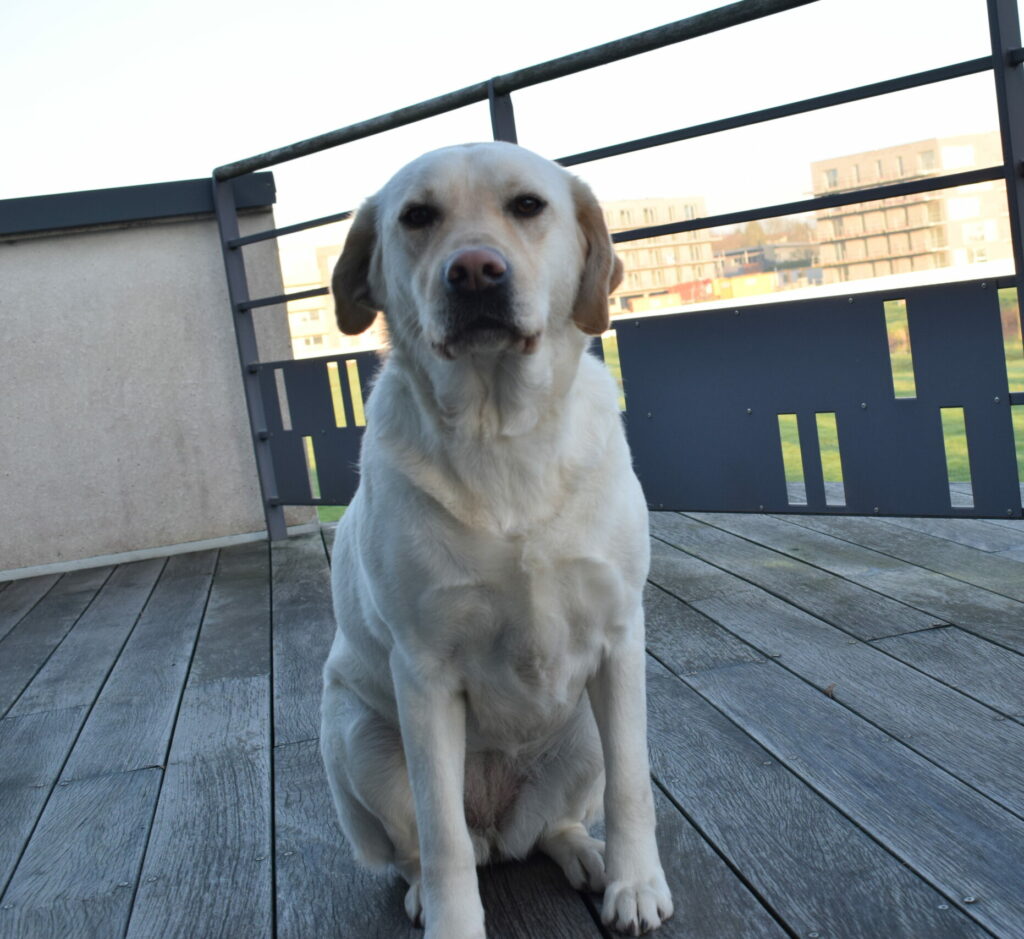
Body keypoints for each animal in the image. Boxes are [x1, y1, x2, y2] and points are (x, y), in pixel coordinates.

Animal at [319, 141, 671, 937]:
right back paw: (426, 889)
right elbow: (440, 832)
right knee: (428, 846)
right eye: (417, 216)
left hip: (580, 733)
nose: (476, 269)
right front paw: (454, 923)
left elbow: (632, 783)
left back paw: (585, 853)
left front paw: (636, 883)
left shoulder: (619, 637)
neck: (500, 431)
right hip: (356, 737)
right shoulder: (422, 672)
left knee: (551, 827)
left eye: (527, 206)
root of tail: (498, 827)